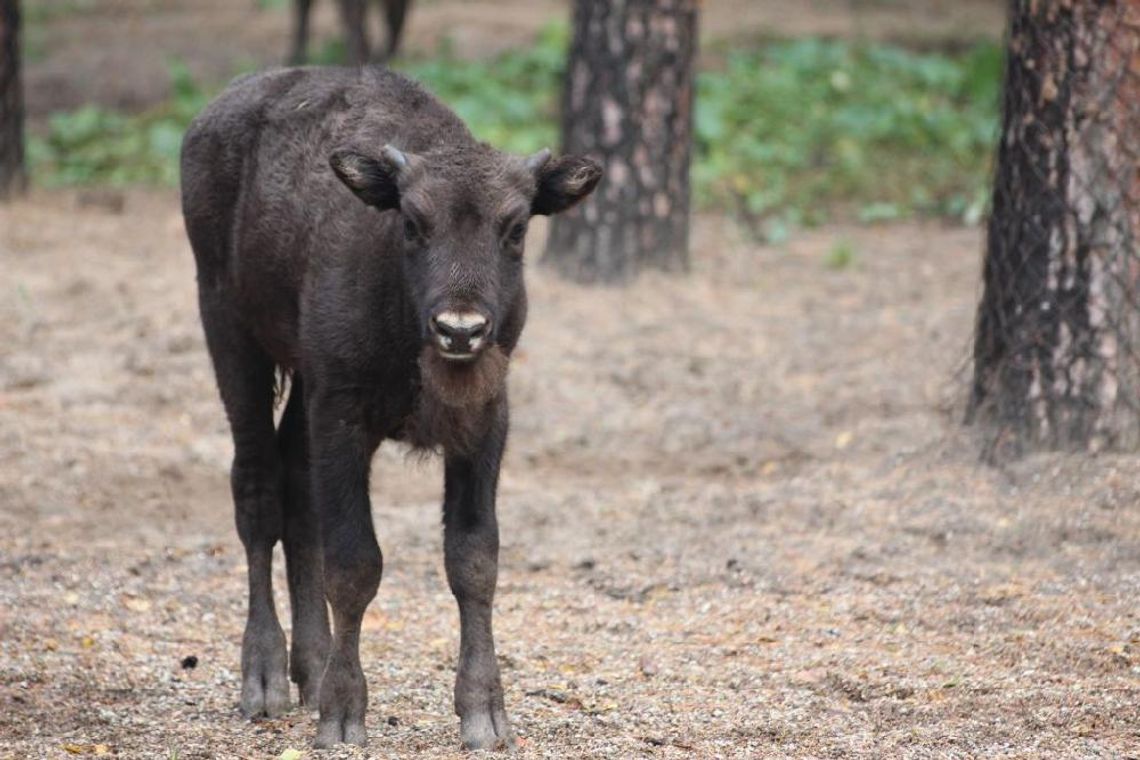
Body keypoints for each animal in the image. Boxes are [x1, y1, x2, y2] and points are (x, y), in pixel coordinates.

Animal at [177, 66, 601, 747]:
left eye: (514, 228)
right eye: (412, 222)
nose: (461, 329)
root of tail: (212, 116)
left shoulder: (483, 424)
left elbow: (473, 559)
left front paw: (485, 714)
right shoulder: (343, 418)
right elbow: (356, 564)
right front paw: (343, 716)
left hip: (300, 386)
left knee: (296, 492)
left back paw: (311, 665)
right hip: (231, 337)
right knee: (258, 491)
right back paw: (264, 679)